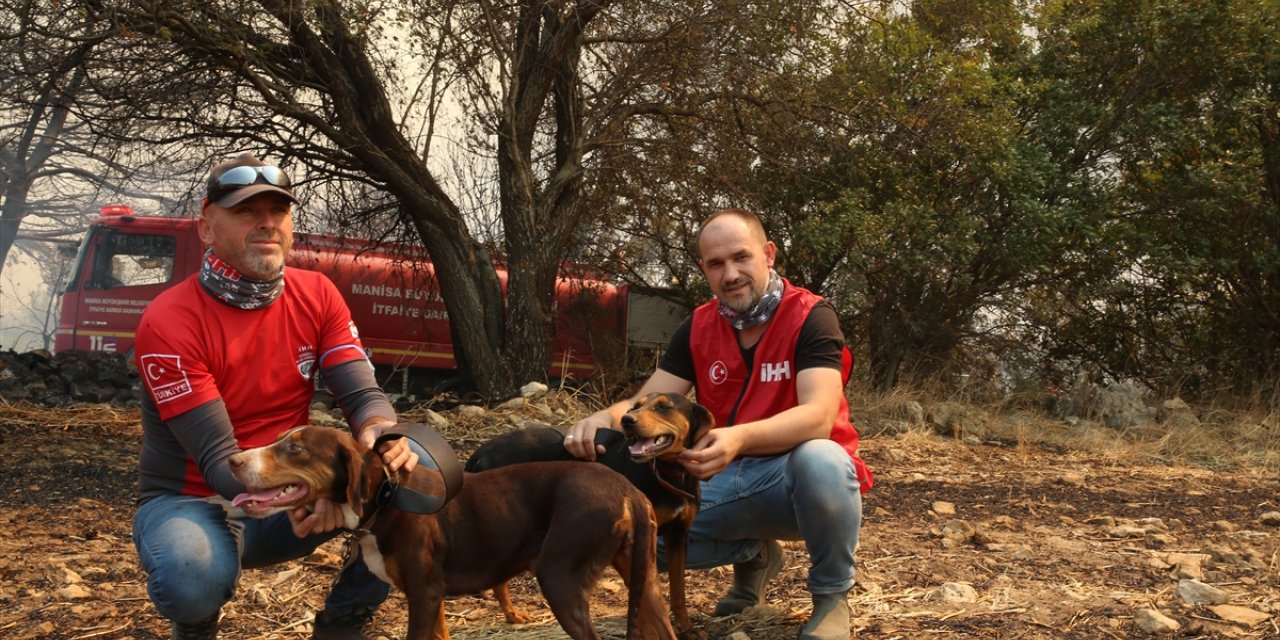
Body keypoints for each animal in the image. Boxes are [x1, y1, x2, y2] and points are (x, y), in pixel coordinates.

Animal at [227, 424, 680, 640]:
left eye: (296, 449)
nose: (233, 460)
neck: (389, 497)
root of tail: (628, 490)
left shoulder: (424, 594)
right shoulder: (433, 596)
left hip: (560, 580)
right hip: (644, 581)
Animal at [465, 391, 716, 637]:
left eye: (664, 407)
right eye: (635, 407)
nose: (627, 420)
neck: (669, 474)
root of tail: (479, 453)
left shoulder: (678, 538)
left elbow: (678, 591)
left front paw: (687, 629)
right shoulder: (637, 542)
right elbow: (644, 602)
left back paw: (512, 614)